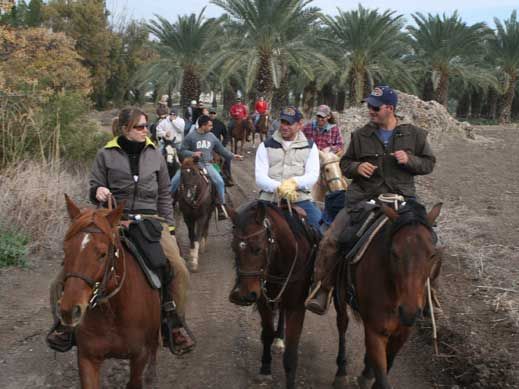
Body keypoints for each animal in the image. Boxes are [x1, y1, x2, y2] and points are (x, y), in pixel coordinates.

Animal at [59, 197, 160, 388]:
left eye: (103, 254)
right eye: (65, 250)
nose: (69, 311)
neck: (112, 311)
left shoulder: (139, 357)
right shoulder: (87, 358)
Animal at [230, 200, 318, 388]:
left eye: (257, 249)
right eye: (233, 248)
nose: (241, 295)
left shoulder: (296, 307)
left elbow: (291, 351)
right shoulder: (263, 301)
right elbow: (267, 333)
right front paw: (265, 369)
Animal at [330, 200, 442, 388]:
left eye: (432, 254)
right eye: (394, 253)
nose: (409, 312)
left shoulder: (402, 334)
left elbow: (385, 370)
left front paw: (367, 375)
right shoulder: (375, 331)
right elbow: (382, 380)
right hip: (340, 295)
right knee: (342, 324)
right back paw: (341, 372)